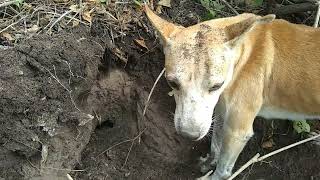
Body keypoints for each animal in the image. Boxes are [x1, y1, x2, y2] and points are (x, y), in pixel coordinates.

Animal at [144, 4, 320, 179]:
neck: (243, 54)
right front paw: (210, 162)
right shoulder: (221, 111)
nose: (189, 135)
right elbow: (216, 143)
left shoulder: (237, 131)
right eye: (172, 83)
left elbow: (223, 171)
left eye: (216, 85)